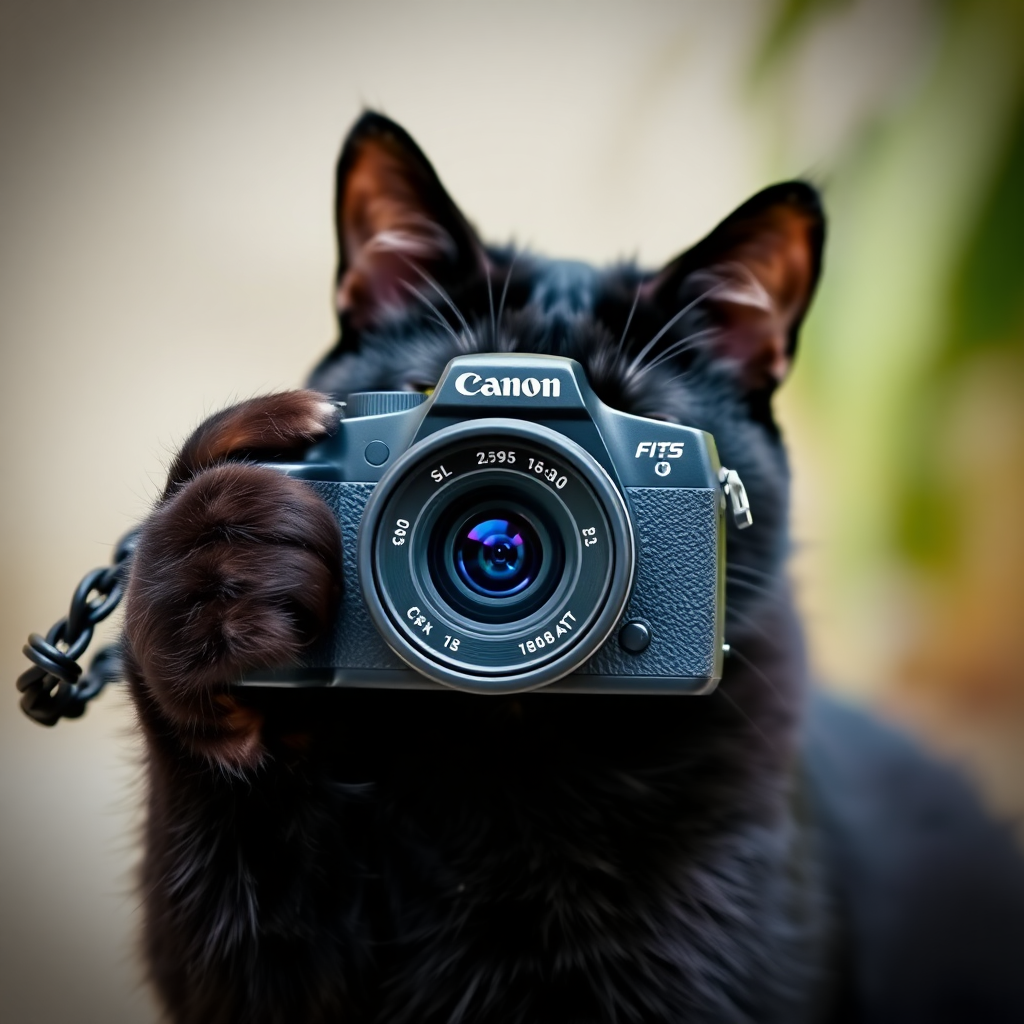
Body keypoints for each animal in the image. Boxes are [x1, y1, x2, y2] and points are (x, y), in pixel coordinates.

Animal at [121, 114, 1024, 1024]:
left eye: (643, 416)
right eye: (415, 390)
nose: (499, 543)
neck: (505, 753)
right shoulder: (273, 974)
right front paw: (223, 561)